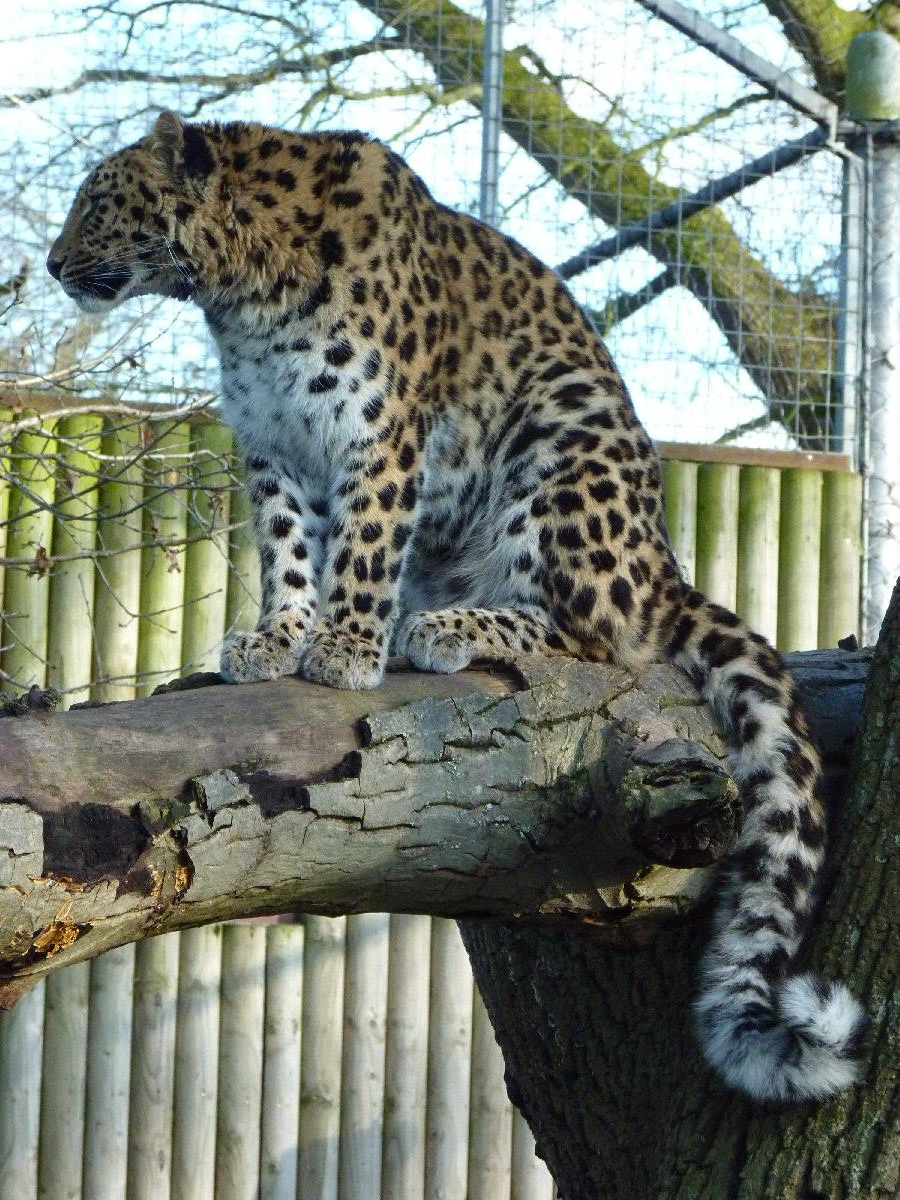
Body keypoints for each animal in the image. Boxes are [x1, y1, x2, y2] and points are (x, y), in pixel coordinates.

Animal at [48, 111, 866, 1102]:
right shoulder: (273, 443)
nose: (50, 263)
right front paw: (277, 638)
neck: (241, 298)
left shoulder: (382, 426)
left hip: (564, 445)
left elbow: (364, 540)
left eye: (96, 203)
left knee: (600, 638)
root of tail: (663, 563)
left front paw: (344, 647)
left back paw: (439, 626)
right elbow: (287, 550)